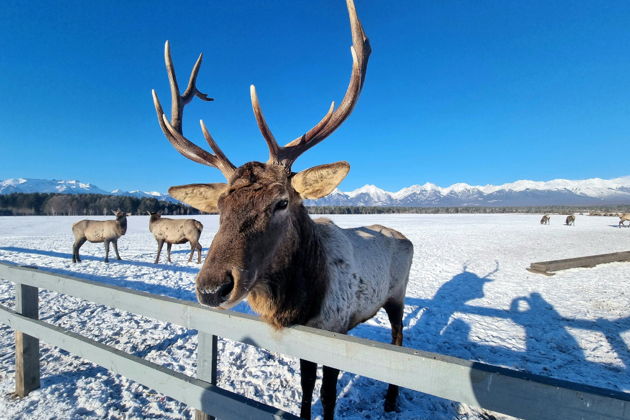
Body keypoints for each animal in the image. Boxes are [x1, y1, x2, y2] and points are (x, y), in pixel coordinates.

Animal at [152, 1, 414, 418]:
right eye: (220, 205)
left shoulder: (335, 328)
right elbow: (306, 388)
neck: (298, 305)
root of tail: (402, 235)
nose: (211, 288)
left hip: (398, 295)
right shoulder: (306, 335)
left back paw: (391, 399)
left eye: (281, 201)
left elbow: (327, 394)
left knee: (399, 339)